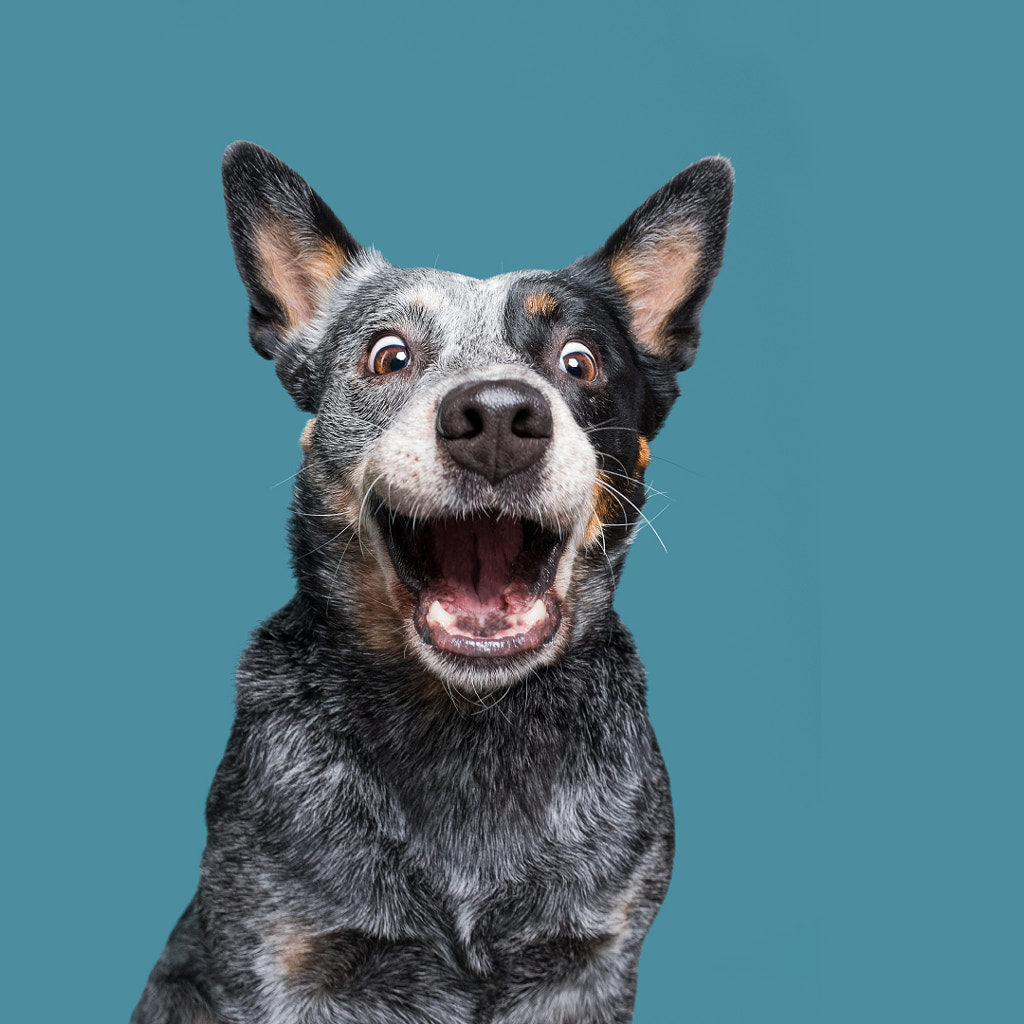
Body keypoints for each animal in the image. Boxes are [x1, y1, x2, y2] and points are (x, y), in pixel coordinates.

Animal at [132, 138, 733, 1024]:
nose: (498, 416)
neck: (467, 729)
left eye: (579, 361)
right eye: (389, 355)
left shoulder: (591, 961)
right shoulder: (276, 955)